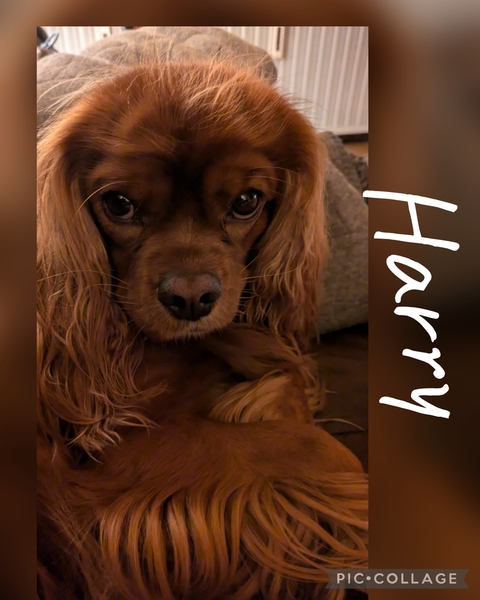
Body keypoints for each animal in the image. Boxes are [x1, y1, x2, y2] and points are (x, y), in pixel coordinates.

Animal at [37, 60, 368, 600]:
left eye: (247, 201)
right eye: (119, 204)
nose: (191, 298)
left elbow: (288, 381)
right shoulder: (99, 468)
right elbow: (323, 450)